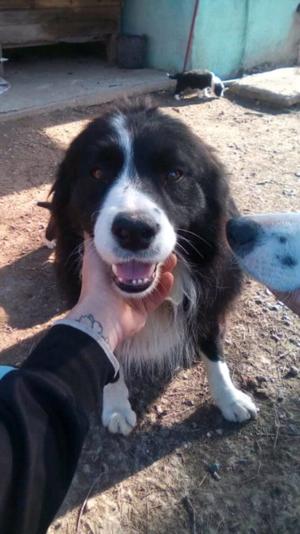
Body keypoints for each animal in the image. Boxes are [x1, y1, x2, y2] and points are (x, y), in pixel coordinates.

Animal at [47, 99, 258, 436]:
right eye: (97, 172)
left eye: (174, 173)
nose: (134, 230)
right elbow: (108, 352)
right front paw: (117, 407)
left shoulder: (211, 296)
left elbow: (212, 345)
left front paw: (230, 398)